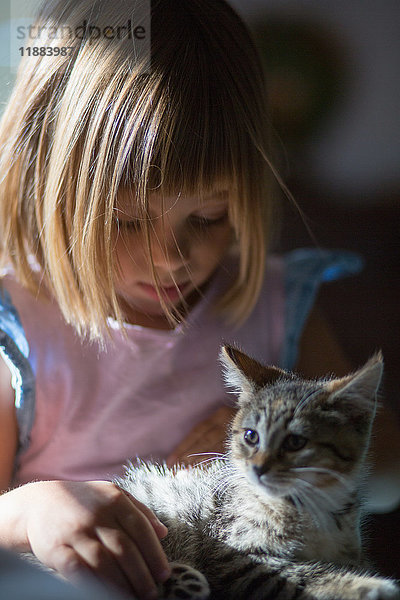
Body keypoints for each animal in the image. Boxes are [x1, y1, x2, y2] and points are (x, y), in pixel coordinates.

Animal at [119, 344, 400, 596]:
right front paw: (366, 586)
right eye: (251, 436)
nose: (258, 468)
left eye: (296, 442)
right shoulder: (234, 555)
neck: (309, 505)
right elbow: (299, 576)